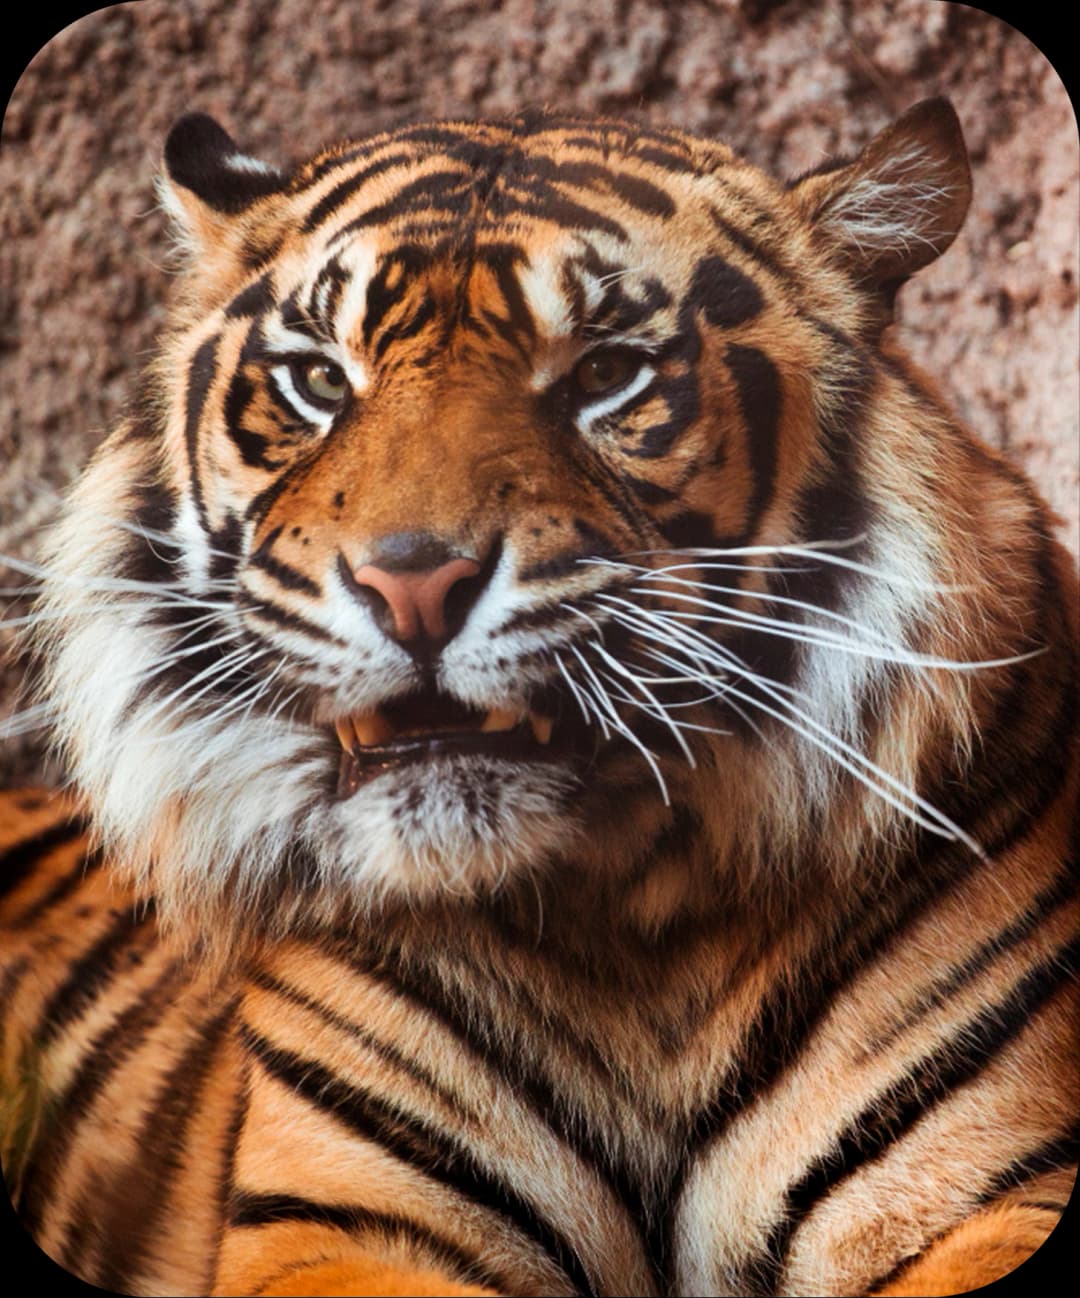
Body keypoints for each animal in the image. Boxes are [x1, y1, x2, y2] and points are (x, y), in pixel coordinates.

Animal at [0, 96, 1076, 1297]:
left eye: (606, 374)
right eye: (319, 381)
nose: (412, 581)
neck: (629, 933)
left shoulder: (985, 1185)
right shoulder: (334, 1226)